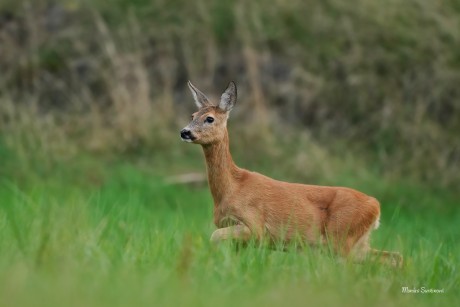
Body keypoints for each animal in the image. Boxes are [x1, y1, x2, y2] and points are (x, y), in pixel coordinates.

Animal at [180, 81, 402, 268]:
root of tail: (376, 206)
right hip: (358, 244)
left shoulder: (255, 227)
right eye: (192, 115)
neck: (232, 187)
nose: (185, 132)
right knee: (394, 257)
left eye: (209, 118)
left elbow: (214, 237)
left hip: (341, 237)